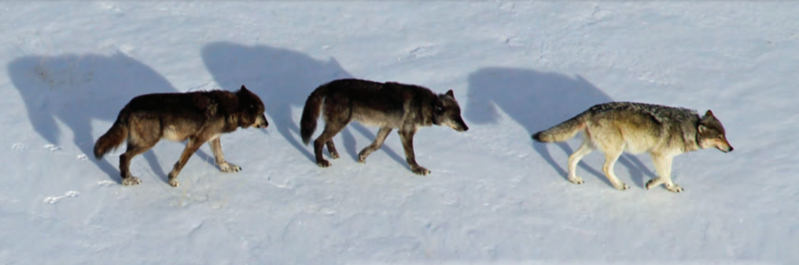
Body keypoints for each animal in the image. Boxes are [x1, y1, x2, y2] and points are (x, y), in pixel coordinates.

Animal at [93, 85, 268, 187]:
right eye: (262, 113)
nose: (267, 124)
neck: (227, 109)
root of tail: (128, 106)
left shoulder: (213, 138)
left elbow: (220, 157)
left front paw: (228, 168)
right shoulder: (195, 141)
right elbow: (181, 164)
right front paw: (171, 179)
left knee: (125, 158)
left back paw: (127, 178)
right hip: (148, 143)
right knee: (123, 157)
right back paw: (127, 181)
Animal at [304, 77, 472, 174]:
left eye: (460, 115)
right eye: (454, 118)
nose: (467, 128)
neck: (426, 105)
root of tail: (328, 85)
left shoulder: (387, 126)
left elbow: (376, 145)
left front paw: (361, 155)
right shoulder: (405, 132)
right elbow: (411, 155)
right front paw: (417, 170)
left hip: (338, 123)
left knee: (326, 139)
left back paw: (333, 154)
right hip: (340, 123)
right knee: (318, 140)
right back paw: (321, 162)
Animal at [536, 101, 736, 192]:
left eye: (725, 135)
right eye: (719, 137)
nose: (732, 149)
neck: (689, 129)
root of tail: (590, 110)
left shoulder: (666, 156)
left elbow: (664, 174)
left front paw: (654, 183)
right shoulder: (658, 155)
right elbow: (666, 175)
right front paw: (665, 186)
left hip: (591, 146)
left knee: (571, 157)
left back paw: (573, 179)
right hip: (616, 150)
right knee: (605, 168)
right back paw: (619, 185)